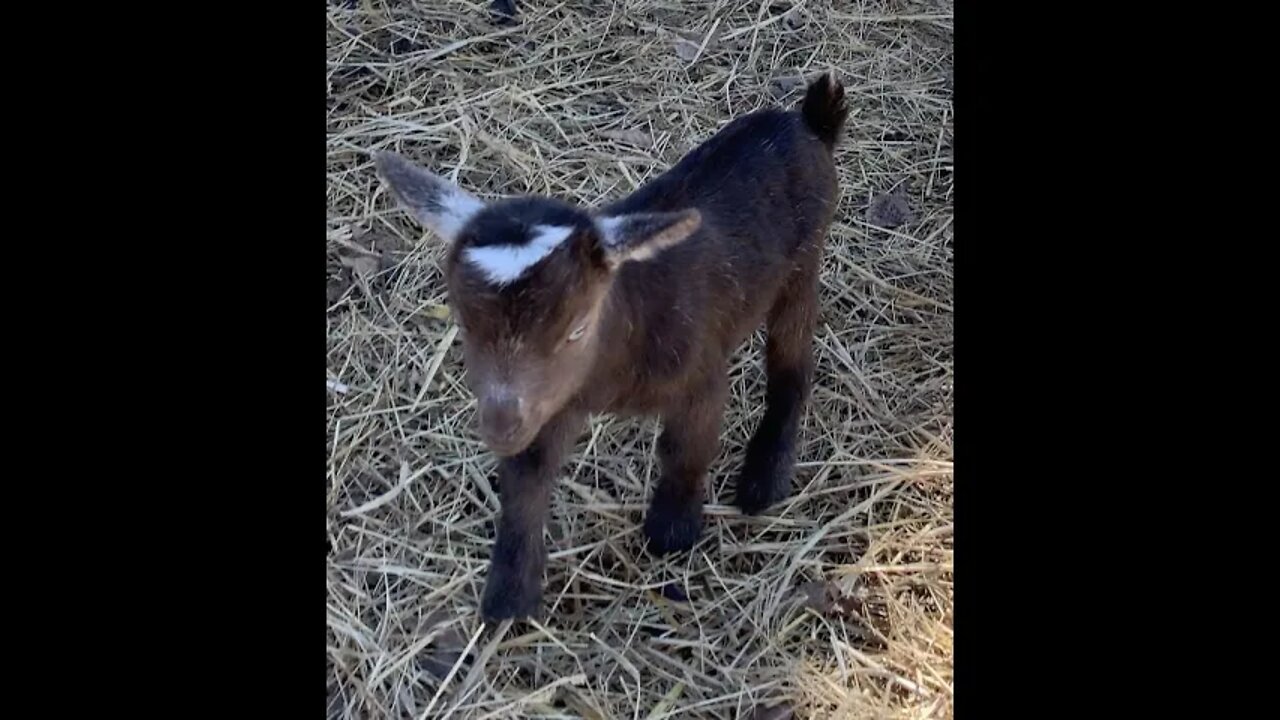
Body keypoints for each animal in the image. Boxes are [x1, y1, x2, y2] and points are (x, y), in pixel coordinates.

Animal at [373, 71, 844, 617]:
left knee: (793, 362)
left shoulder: (700, 375)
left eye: (577, 327)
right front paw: (509, 598)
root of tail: (808, 124)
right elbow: (525, 485)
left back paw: (763, 478)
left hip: (802, 266)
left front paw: (672, 529)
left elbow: (686, 448)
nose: (499, 427)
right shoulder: (546, 404)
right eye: (463, 323)